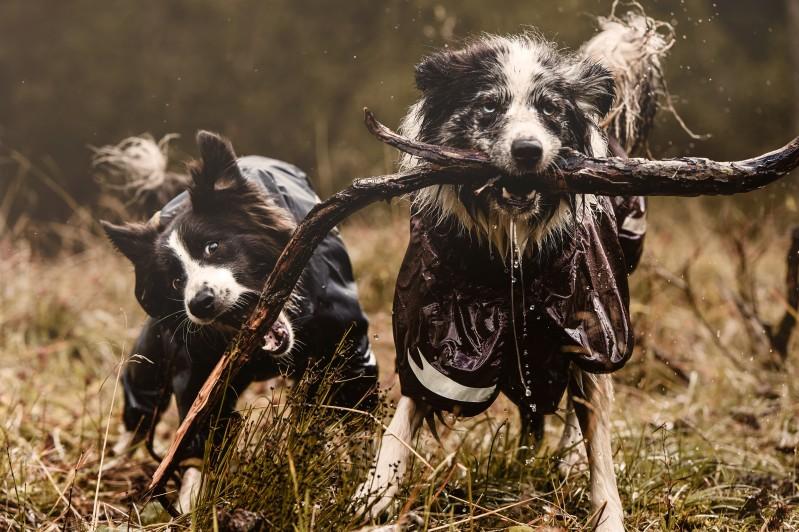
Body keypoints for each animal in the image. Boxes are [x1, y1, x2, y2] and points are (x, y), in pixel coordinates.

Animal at [102, 131, 378, 512]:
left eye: (212, 247)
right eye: (174, 281)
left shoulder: (350, 352)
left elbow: (359, 423)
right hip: (150, 360)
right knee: (139, 411)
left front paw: (367, 491)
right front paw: (189, 509)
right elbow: (198, 437)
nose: (199, 303)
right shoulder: (197, 373)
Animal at [354, 13, 664, 532]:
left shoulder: (591, 327)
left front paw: (607, 514)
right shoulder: (438, 335)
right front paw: (373, 496)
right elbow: (401, 424)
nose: (527, 150)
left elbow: (599, 443)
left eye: (551, 109)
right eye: (489, 105)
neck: (512, 258)